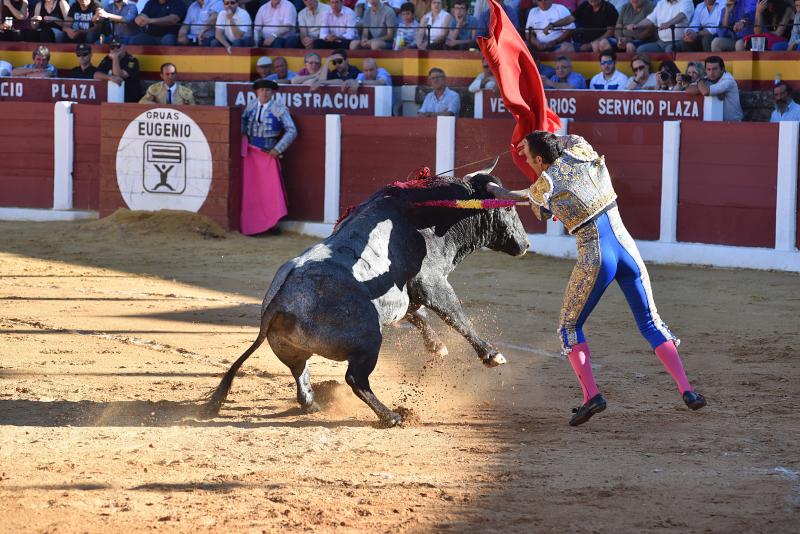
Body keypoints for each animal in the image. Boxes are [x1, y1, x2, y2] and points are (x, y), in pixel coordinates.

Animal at [205, 170, 532, 430]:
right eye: (508, 210)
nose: (526, 243)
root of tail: (276, 303)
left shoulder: (405, 294)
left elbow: (417, 314)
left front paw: (437, 346)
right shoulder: (431, 282)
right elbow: (455, 315)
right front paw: (491, 354)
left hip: (292, 350)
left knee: (300, 372)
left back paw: (312, 403)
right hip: (368, 342)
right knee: (355, 379)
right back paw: (391, 416)